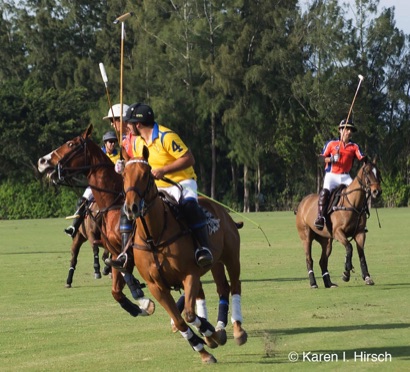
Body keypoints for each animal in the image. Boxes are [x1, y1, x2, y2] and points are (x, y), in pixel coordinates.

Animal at [36, 125, 155, 316]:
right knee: (74, 256)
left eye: (71, 144)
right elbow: (117, 288)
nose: (42, 161)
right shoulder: (114, 250)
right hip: (78, 236)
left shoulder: (124, 251)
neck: (111, 203)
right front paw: (141, 303)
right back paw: (69, 279)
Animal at [122, 148, 247, 364]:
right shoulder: (157, 287)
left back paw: (237, 330)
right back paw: (219, 328)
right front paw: (205, 350)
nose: (132, 208)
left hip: (230, 257)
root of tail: (221, 209)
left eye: (146, 175)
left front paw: (211, 334)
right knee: (222, 288)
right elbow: (180, 321)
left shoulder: (189, 274)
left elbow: (189, 315)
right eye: (123, 175)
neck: (154, 238)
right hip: (215, 263)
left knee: (235, 286)